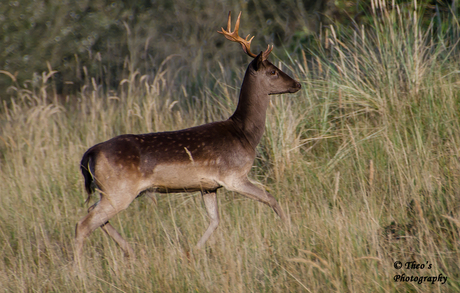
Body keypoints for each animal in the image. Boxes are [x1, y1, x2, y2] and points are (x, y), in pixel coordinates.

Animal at [75, 11, 302, 258]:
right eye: (273, 71)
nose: (297, 84)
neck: (245, 134)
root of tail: (90, 153)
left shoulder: (209, 186)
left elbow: (215, 220)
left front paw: (193, 251)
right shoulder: (233, 176)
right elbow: (271, 198)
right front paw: (290, 231)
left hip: (108, 190)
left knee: (93, 214)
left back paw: (131, 251)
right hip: (118, 190)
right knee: (83, 224)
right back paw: (80, 265)